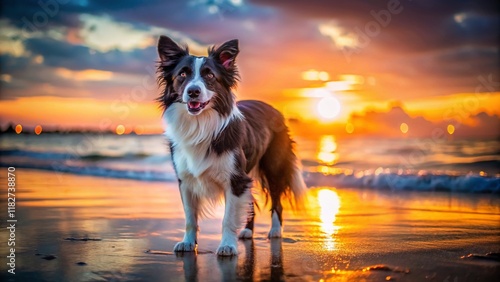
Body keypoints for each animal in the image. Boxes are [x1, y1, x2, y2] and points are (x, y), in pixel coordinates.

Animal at [156, 34, 306, 256]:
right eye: (182, 74)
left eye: (210, 76)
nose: (193, 92)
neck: (200, 124)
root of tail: (274, 109)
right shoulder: (186, 180)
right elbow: (190, 218)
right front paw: (188, 243)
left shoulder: (235, 179)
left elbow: (227, 218)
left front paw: (227, 246)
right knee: (251, 202)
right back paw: (247, 231)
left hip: (274, 167)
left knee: (277, 202)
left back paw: (275, 231)